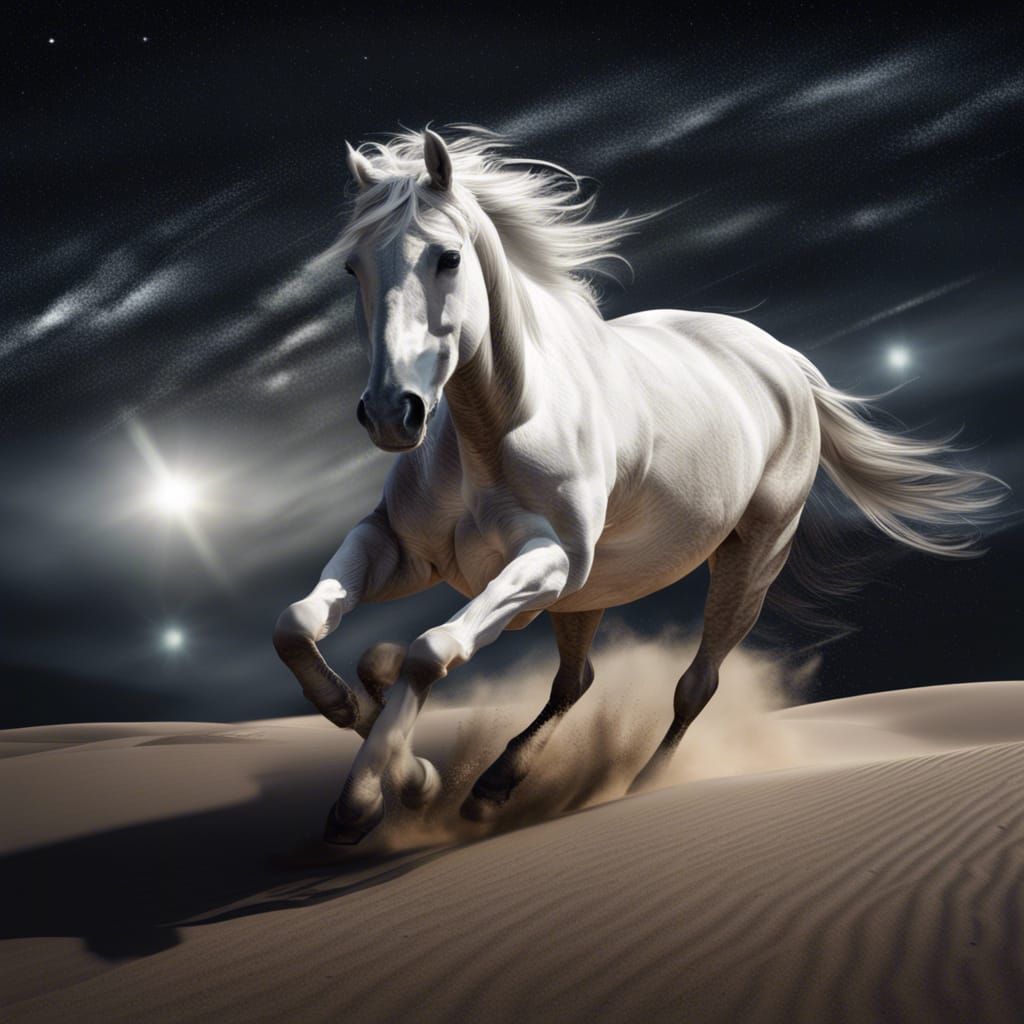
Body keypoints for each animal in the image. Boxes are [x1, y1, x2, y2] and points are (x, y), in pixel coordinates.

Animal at [273, 124, 1004, 845]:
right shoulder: (399, 549)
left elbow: (430, 651)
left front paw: (372, 796)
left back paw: (637, 785)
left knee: (695, 684)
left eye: (447, 258)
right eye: (352, 267)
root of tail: (780, 358)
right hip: (589, 592)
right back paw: (492, 787)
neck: (498, 428)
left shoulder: (546, 565)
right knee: (575, 682)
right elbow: (301, 627)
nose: (391, 413)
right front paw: (391, 754)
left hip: (747, 559)